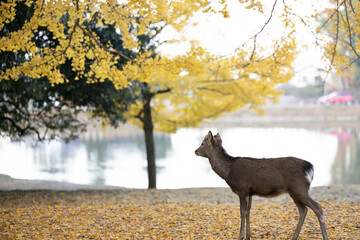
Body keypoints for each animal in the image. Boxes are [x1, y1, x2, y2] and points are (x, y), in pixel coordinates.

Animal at [195, 131, 328, 240]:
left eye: (202, 143)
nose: (195, 151)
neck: (227, 172)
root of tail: (310, 168)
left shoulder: (242, 189)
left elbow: (242, 212)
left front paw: (240, 236)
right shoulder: (250, 192)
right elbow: (248, 212)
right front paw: (248, 236)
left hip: (299, 189)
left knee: (317, 207)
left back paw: (324, 236)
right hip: (294, 192)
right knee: (303, 210)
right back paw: (294, 237)